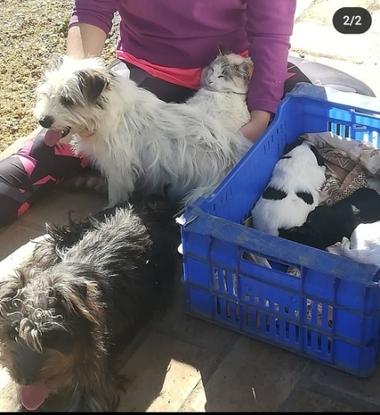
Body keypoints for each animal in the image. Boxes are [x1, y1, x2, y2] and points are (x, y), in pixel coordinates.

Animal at [33, 53, 252, 206]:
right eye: (47, 94)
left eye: (67, 100)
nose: (43, 121)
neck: (110, 114)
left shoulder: (119, 171)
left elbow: (116, 197)